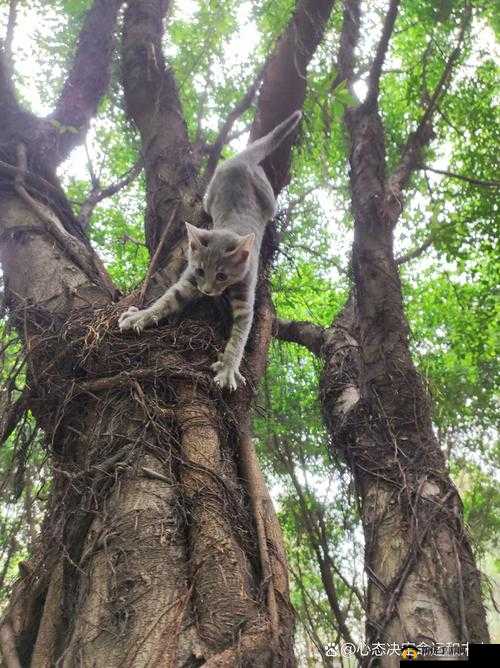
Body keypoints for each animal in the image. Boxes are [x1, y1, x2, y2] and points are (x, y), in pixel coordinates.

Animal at [119, 111, 302, 392]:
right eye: (200, 270)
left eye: (222, 276)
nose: (206, 291)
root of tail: (240, 159)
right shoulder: (186, 282)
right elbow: (165, 300)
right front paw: (141, 316)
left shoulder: (246, 300)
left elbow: (238, 339)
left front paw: (228, 369)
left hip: (268, 198)